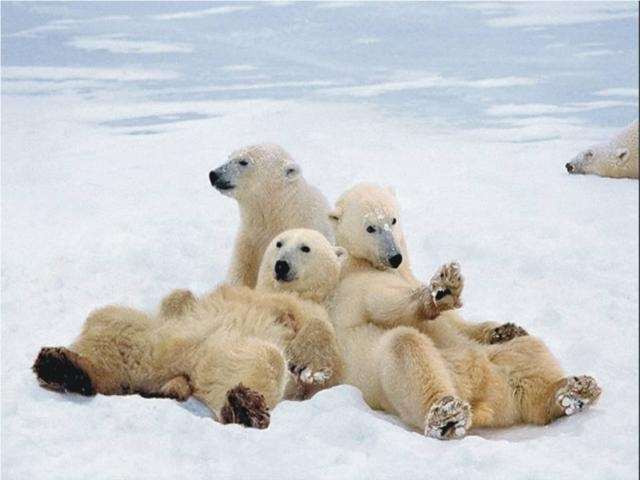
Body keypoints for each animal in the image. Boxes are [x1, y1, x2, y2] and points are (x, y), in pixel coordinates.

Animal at [328, 184, 604, 438]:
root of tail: (483, 397)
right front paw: (441, 291)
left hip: (496, 362)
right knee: (406, 346)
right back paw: (446, 415)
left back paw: (573, 391)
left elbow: (460, 324)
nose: (395, 256)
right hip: (392, 377)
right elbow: (388, 307)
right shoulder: (357, 284)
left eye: (393, 220)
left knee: (529, 352)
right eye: (370, 227)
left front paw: (505, 329)